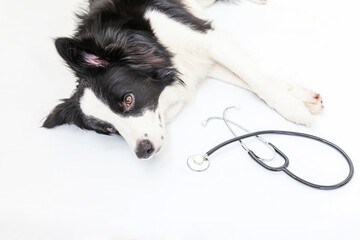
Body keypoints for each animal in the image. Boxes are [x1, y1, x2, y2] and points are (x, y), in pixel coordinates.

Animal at [43, 0, 324, 159]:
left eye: (128, 100)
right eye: (108, 129)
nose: (142, 152)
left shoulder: (207, 39)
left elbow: (254, 78)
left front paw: (293, 108)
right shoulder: (198, 62)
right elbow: (249, 78)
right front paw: (301, 96)